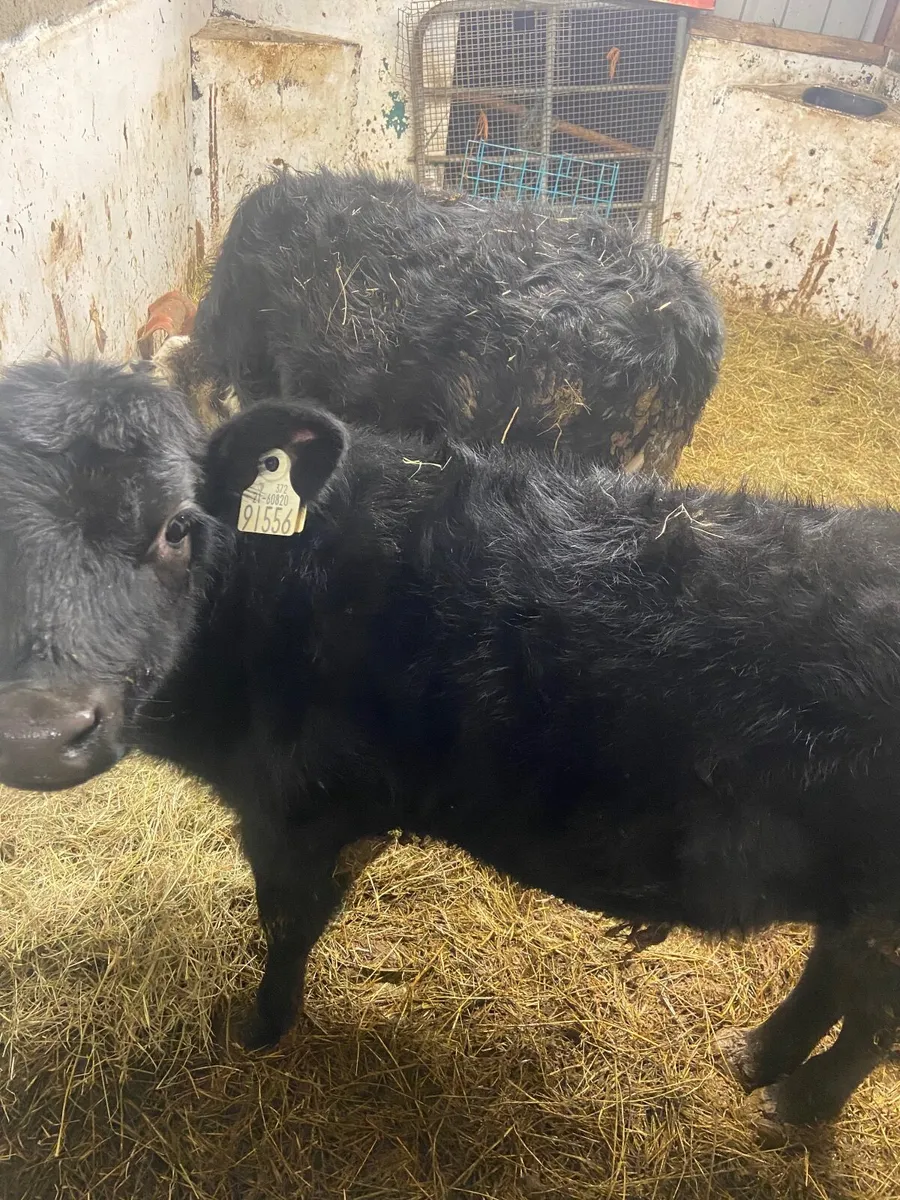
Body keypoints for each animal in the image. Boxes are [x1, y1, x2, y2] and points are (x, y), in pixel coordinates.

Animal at [1, 358, 900, 1135]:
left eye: (178, 526)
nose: (40, 729)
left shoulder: (293, 809)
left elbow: (289, 921)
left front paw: (260, 1025)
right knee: (831, 973)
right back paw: (755, 1056)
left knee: (872, 1019)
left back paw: (796, 1102)